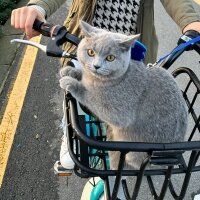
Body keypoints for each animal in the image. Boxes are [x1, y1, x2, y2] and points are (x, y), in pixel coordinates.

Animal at [59, 21, 188, 170]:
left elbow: (89, 95)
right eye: (90, 52)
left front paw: (70, 83)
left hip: (135, 153)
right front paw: (70, 71)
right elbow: (82, 73)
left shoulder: (119, 112)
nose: (96, 66)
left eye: (110, 58)